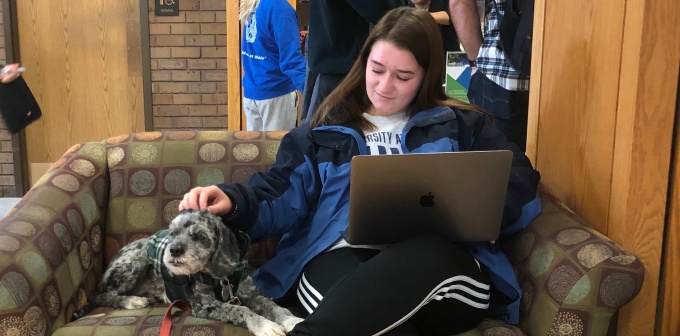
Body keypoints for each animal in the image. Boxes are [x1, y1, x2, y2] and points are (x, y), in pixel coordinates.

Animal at [95, 209, 302, 334]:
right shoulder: (205, 305)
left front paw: (291, 320)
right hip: (136, 260)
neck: (222, 279)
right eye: (173, 233)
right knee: (103, 295)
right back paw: (133, 300)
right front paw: (265, 325)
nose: (174, 250)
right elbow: (241, 309)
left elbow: (273, 307)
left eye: (200, 236)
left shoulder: (251, 294)